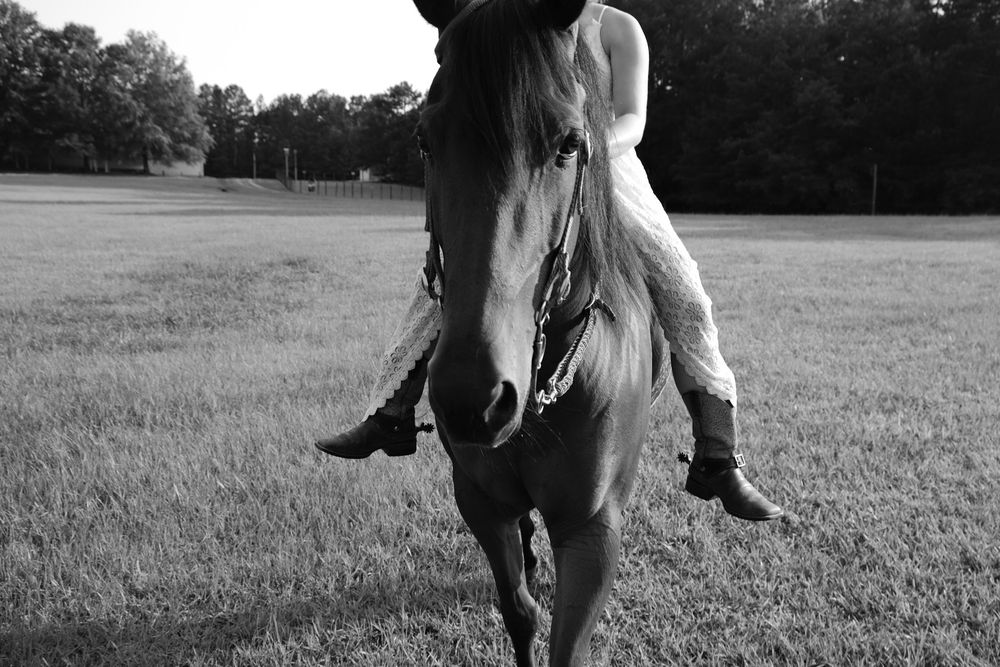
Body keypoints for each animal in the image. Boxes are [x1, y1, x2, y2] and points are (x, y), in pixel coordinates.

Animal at [412, 0, 665, 664]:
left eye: (571, 144)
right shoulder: (479, 498)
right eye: (425, 139)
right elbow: (521, 612)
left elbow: (564, 642)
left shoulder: (592, 529)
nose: (472, 398)